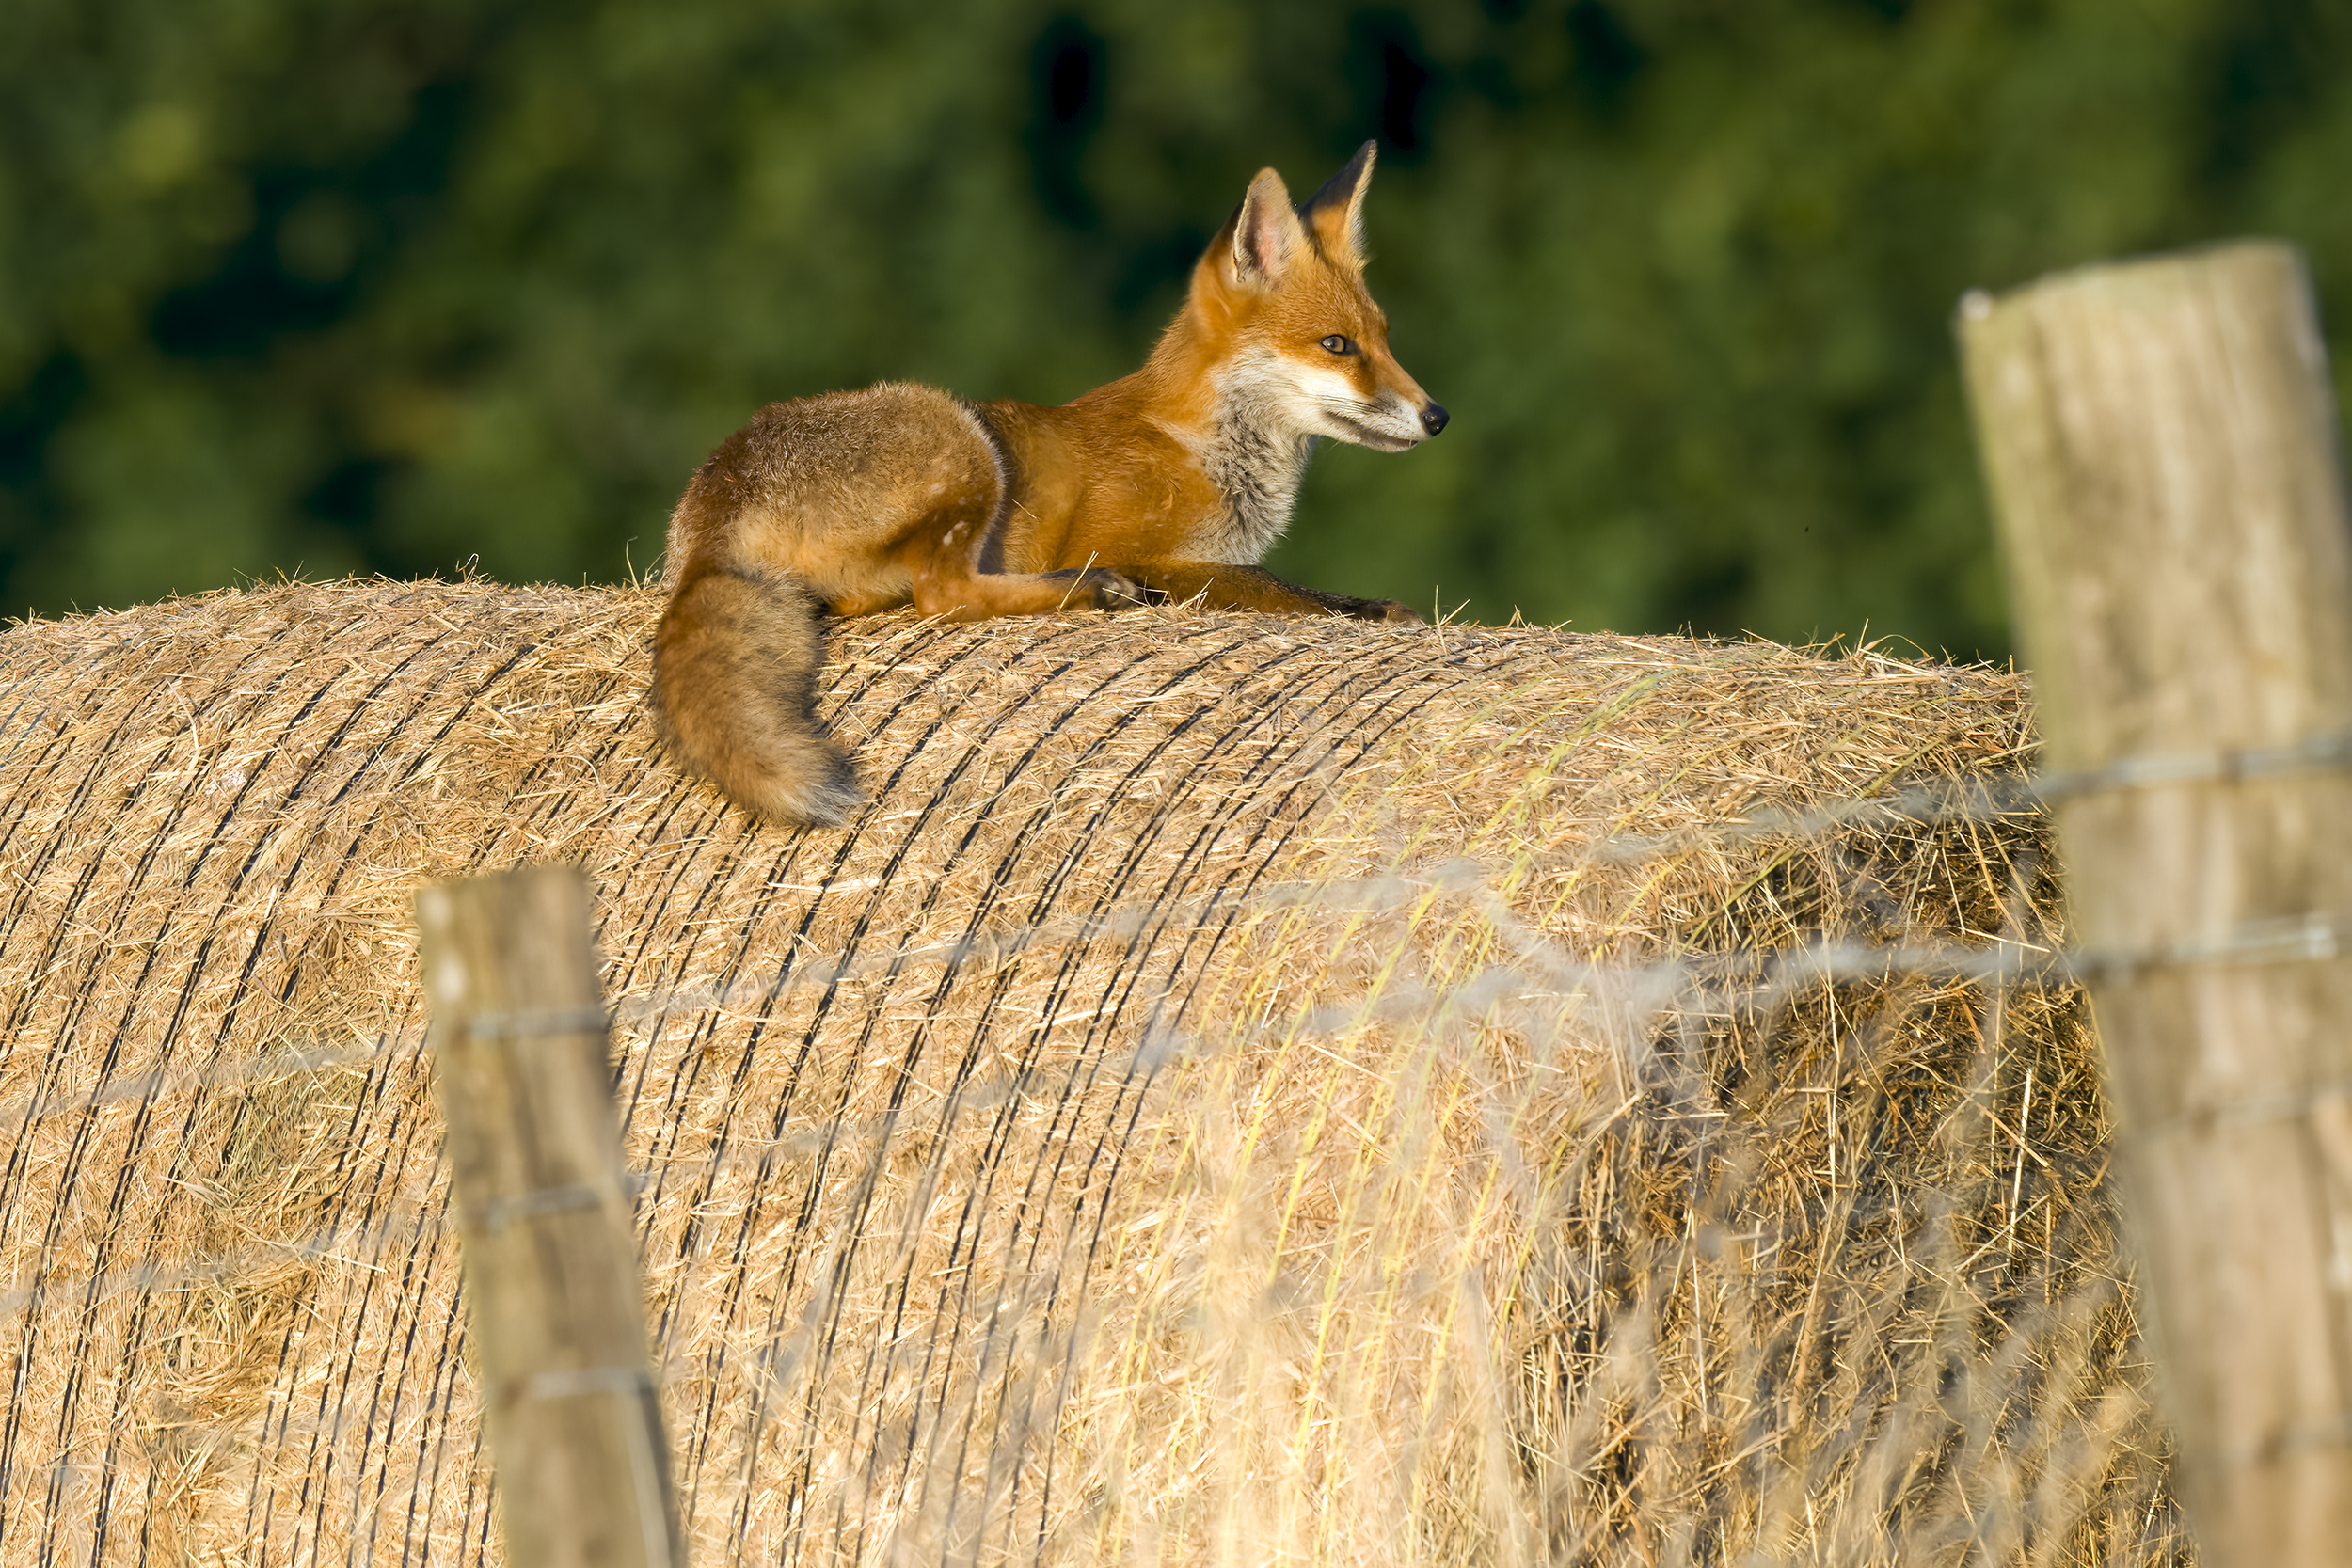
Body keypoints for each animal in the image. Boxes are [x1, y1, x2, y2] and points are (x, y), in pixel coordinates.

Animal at [651, 139, 1448, 826]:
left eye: (1383, 338)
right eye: (1337, 346)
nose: (1437, 415)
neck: (1201, 447)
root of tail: (718, 487)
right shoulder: (1146, 550)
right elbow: (1286, 589)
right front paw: (1380, 612)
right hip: (963, 446)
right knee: (943, 593)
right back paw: (1089, 591)